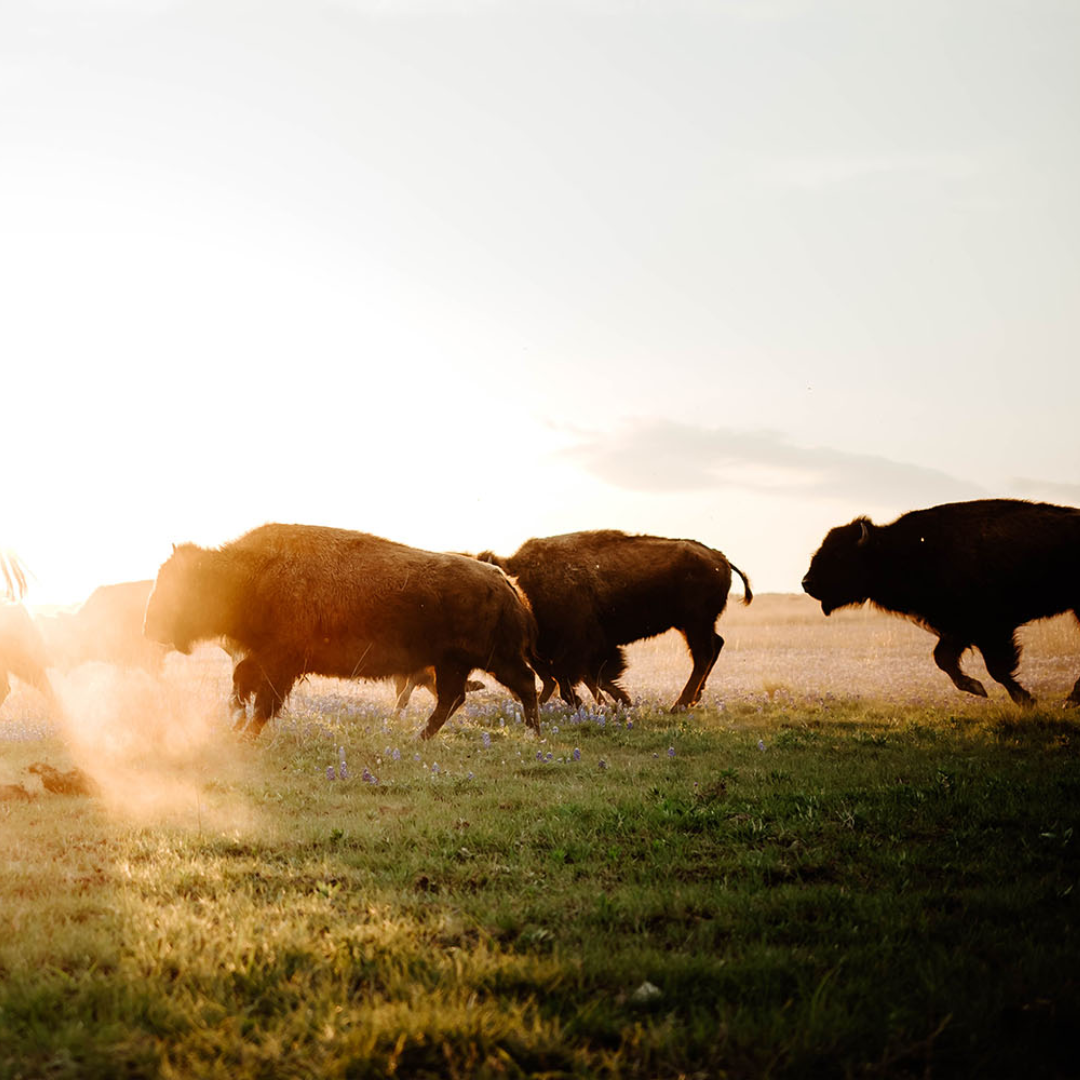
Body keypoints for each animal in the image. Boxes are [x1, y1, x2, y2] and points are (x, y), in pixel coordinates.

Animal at [144, 523, 541, 739]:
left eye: (181, 586)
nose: (149, 627)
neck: (250, 573)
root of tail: (504, 581)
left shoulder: (281, 662)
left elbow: (262, 699)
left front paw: (247, 732)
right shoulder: (266, 658)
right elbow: (242, 680)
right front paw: (237, 721)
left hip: (491, 659)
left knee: (521, 685)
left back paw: (532, 733)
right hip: (454, 664)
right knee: (454, 698)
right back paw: (421, 738)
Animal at [477, 529, 752, 711]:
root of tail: (720, 558)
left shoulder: (579, 646)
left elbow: (573, 677)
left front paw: (602, 702)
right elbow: (589, 677)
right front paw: (620, 702)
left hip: (695, 624)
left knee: (703, 656)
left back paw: (680, 704)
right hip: (693, 625)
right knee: (715, 646)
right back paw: (692, 699)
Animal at [802, 498, 1080, 706]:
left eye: (839, 554)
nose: (807, 583)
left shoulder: (990, 628)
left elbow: (996, 668)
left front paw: (1024, 699)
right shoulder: (958, 629)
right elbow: (942, 658)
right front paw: (976, 687)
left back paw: (1071, 699)